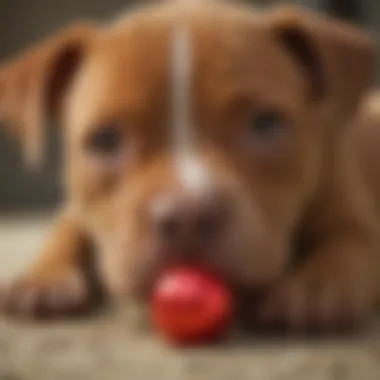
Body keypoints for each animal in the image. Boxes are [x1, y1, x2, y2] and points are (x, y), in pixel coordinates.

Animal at [0, 0, 380, 332]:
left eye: (266, 122)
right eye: (105, 139)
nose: (188, 216)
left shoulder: (349, 206)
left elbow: (351, 245)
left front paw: (317, 286)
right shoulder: (78, 207)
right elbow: (65, 230)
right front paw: (42, 279)